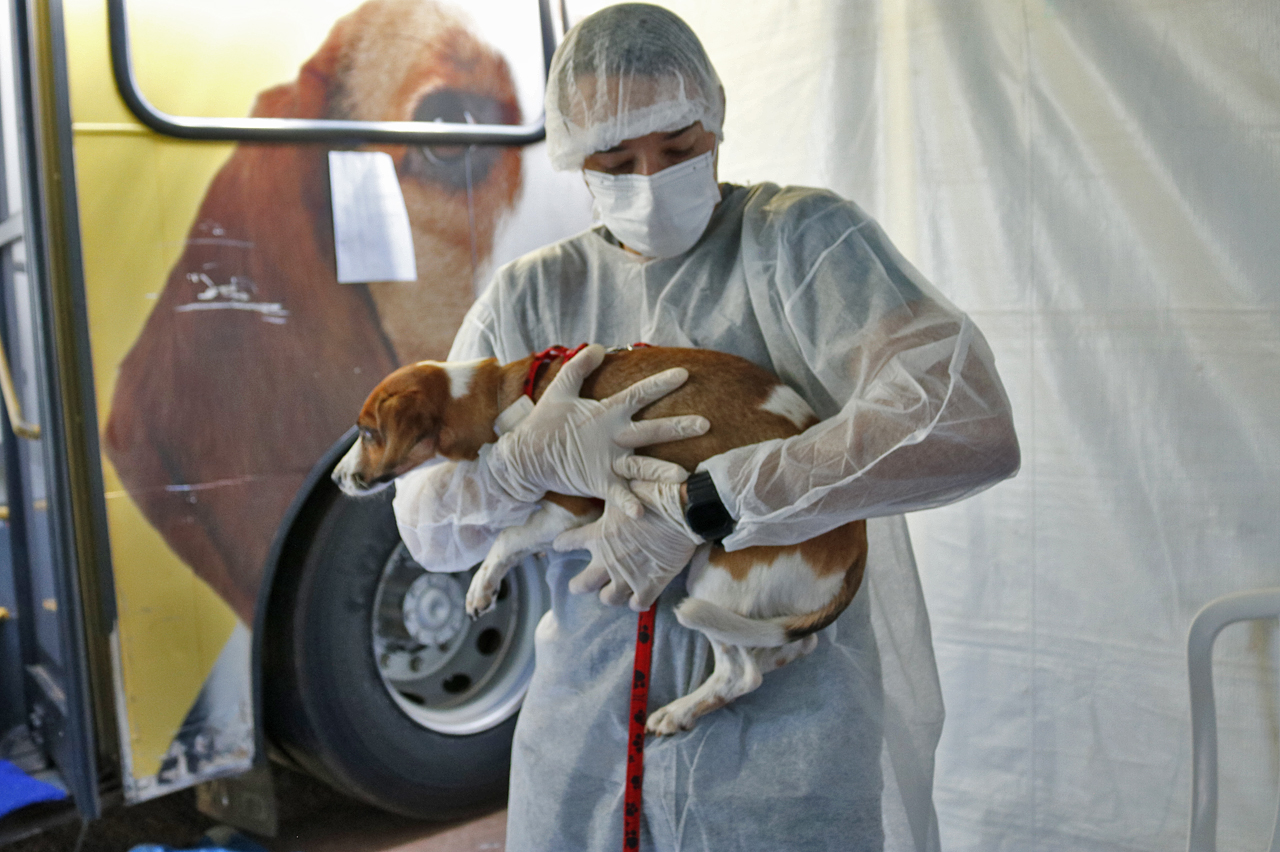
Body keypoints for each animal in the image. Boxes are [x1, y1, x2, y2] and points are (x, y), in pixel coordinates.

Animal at [335, 345, 865, 731]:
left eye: (368, 433)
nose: (336, 479)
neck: (501, 395)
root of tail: (857, 542)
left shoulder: (569, 507)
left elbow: (508, 539)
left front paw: (482, 585)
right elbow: (513, 537)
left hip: (716, 582)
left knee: (742, 674)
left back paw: (678, 712)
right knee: (789, 647)